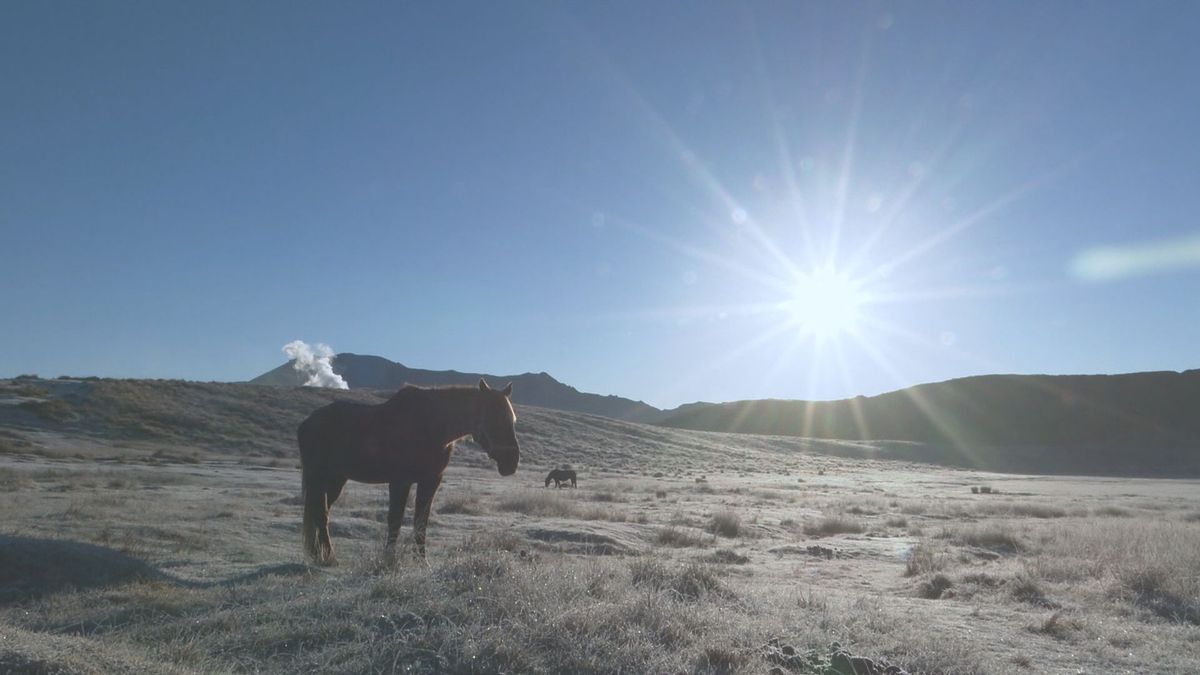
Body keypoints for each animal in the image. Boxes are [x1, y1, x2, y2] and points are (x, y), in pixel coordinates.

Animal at [297, 379, 518, 562]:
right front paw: (389, 559)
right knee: (321, 513)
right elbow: (395, 520)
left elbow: (421, 523)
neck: (431, 427)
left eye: (512, 420)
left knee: (321, 511)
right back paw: (329, 557)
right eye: (493, 419)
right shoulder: (400, 481)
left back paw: (319, 554)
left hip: (336, 480)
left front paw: (422, 562)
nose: (511, 462)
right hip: (319, 479)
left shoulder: (431, 481)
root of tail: (307, 422)